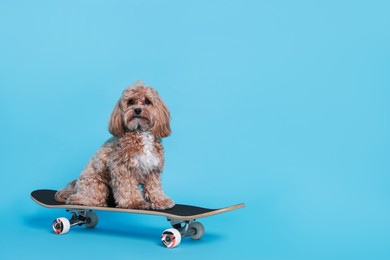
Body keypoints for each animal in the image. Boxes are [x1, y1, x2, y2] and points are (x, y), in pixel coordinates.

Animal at [55, 82, 175, 210]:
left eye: (147, 101)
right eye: (131, 102)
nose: (137, 110)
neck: (140, 132)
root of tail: (75, 189)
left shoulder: (153, 168)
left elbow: (154, 187)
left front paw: (161, 201)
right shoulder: (123, 168)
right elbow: (128, 187)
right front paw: (134, 202)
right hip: (96, 184)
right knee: (81, 198)